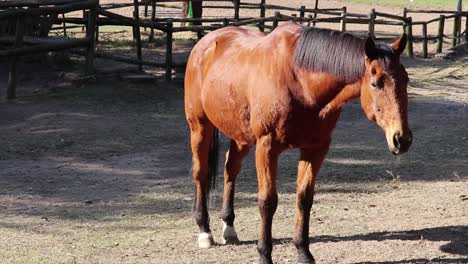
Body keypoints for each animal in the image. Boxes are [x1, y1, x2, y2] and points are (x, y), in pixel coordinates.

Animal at [185, 23, 412, 264]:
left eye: (406, 80)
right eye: (375, 83)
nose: (401, 138)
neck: (300, 83)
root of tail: (205, 42)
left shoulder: (315, 148)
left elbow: (304, 198)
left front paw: (304, 252)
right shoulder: (267, 147)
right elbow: (267, 201)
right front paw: (264, 254)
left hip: (240, 134)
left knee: (230, 168)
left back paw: (228, 227)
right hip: (200, 126)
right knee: (201, 172)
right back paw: (204, 231)